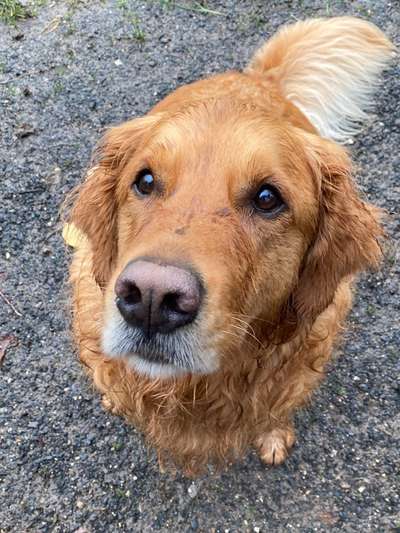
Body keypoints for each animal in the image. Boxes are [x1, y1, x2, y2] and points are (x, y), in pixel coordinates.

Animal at [66, 16, 394, 474]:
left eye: (268, 198)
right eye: (144, 180)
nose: (151, 297)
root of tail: (258, 79)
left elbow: (277, 406)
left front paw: (273, 435)